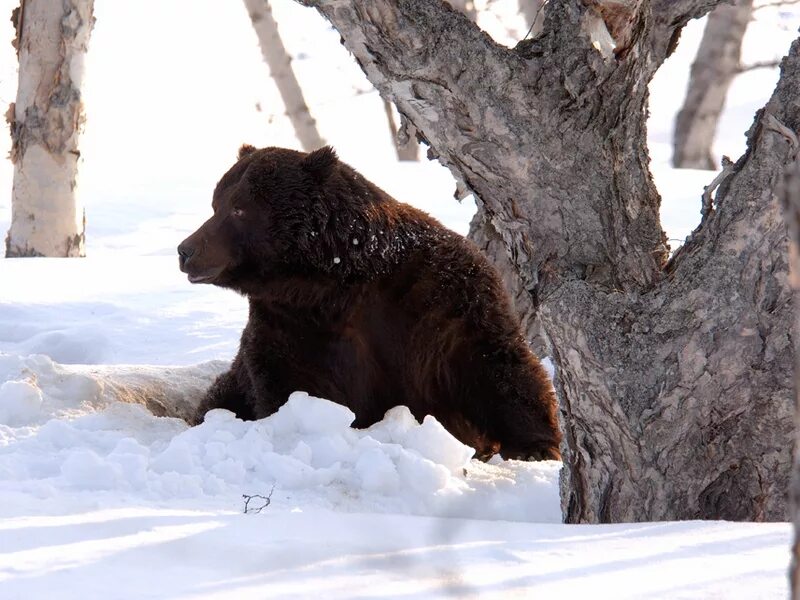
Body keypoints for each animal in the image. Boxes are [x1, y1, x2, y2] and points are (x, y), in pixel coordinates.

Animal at [178, 144, 560, 460]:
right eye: (217, 203)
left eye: (239, 208)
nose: (186, 249)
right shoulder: (293, 321)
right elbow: (289, 381)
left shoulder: (439, 297)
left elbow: (493, 359)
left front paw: (537, 447)